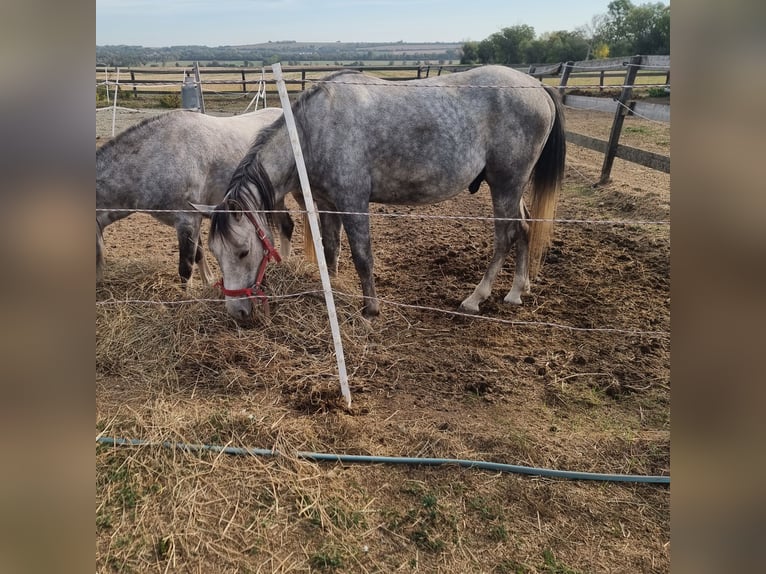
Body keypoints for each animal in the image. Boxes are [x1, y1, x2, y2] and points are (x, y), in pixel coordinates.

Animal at [96, 107, 294, 285]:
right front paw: (208, 282)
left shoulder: (187, 221)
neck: (155, 160)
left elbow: (185, 267)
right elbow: (198, 254)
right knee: (286, 225)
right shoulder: (193, 220)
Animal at [193, 65, 565, 321]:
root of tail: (537, 87)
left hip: (505, 185)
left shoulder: (353, 202)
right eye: (214, 252)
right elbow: (330, 250)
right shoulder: (327, 204)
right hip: (512, 187)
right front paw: (330, 291)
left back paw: (476, 298)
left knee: (506, 236)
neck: (314, 132)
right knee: (525, 228)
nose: (237, 312)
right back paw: (517, 290)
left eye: (243, 252)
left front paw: (370, 309)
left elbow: (362, 256)